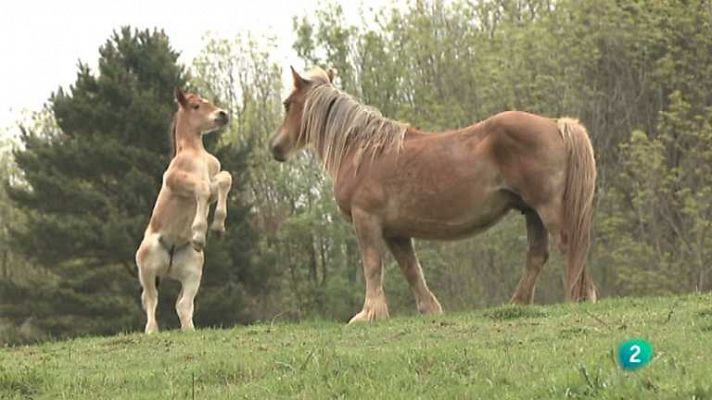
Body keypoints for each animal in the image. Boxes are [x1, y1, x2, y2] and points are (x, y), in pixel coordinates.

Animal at [134, 89, 231, 332]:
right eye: (196, 106)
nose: (223, 114)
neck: (196, 152)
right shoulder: (178, 182)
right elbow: (202, 188)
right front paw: (199, 233)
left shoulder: (214, 183)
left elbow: (224, 179)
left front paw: (217, 227)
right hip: (148, 270)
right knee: (152, 301)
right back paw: (152, 331)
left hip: (192, 273)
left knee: (183, 305)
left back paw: (189, 331)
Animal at [270, 65, 596, 322]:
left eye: (287, 104)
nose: (275, 147)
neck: (363, 150)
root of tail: (556, 124)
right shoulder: (396, 232)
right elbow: (412, 269)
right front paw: (429, 309)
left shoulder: (367, 220)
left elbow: (372, 266)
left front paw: (369, 313)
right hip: (532, 211)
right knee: (537, 255)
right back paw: (517, 303)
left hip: (548, 208)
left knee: (570, 245)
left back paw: (578, 297)